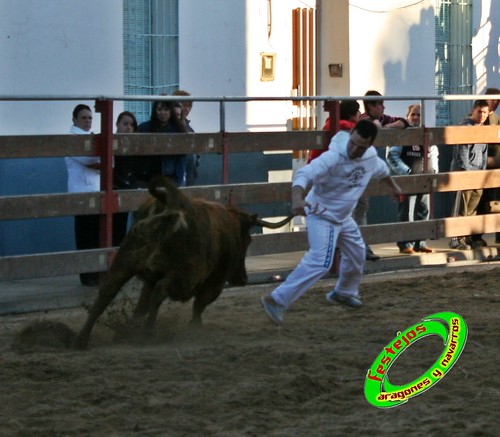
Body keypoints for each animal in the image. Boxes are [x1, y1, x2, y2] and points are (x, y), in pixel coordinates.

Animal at [74, 176, 292, 348]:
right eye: (248, 241)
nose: (242, 279)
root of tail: (166, 202)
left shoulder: (149, 279)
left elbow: (141, 305)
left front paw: (126, 330)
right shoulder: (214, 281)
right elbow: (200, 303)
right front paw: (195, 327)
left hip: (124, 262)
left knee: (107, 292)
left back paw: (81, 339)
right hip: (184, 274)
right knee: (160, 292)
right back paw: (147, 333)